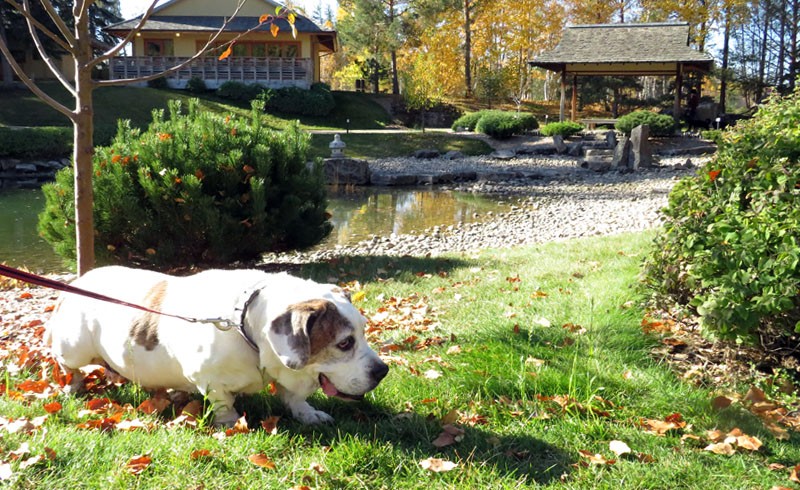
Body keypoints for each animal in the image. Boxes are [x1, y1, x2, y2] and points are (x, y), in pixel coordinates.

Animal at [45, 266, 390, 424]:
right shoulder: (209, 379)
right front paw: (231, 421)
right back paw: (73, 384)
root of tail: (75, 284)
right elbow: (224, 402)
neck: (245, 324)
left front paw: (308, 413)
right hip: (74, 347)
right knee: (67, 363)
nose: (383, 371)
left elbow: (293, 397)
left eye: (364, 331)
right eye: (345, 343)